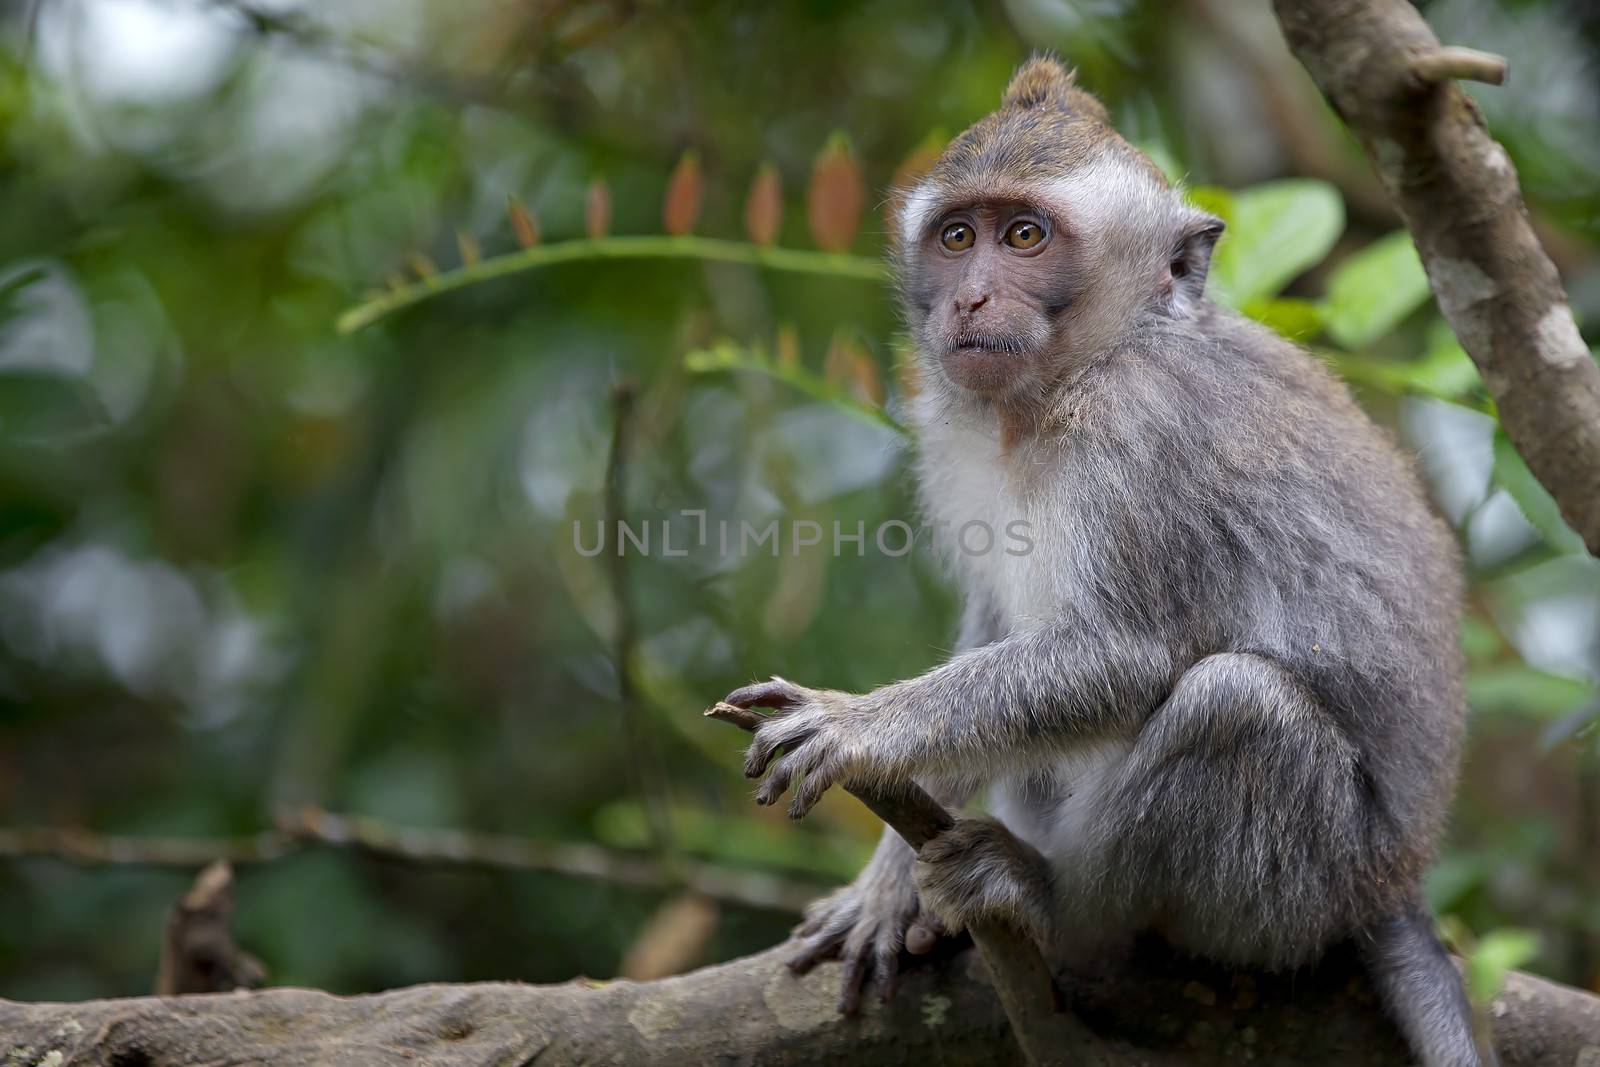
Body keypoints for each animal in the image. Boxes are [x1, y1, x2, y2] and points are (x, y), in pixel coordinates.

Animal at [726, 60, 1484, 1067]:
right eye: (958, 236)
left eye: (1026, 235)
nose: (969, 299)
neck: (1055, 392)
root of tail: (1398, 883)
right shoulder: (949, 425)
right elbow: (996, 625)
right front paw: (882, 886)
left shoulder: (1140, 428)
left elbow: (1126, 653)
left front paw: (856, 727)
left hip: (1308, 889)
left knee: (1240, 706)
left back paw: (1055, 904)